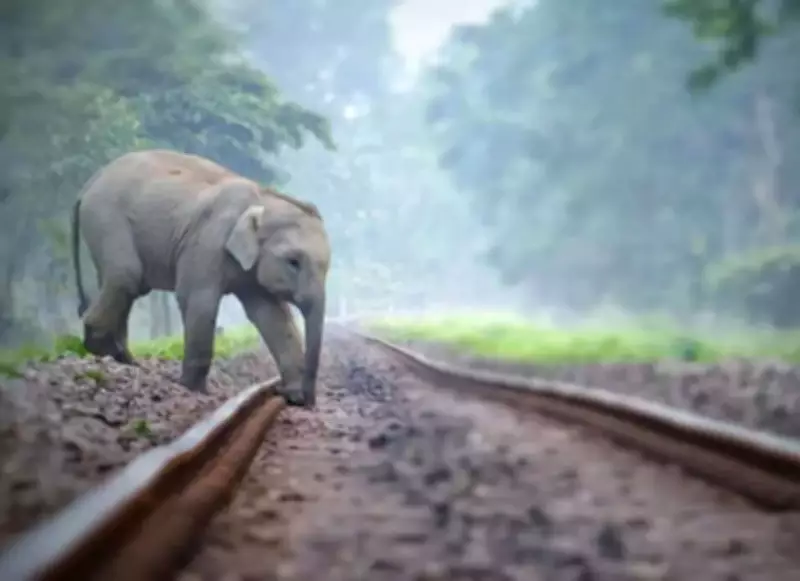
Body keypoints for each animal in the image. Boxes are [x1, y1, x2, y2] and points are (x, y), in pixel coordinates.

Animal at [70, 149, 331, 408]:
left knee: (121, 283)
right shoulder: (207, 240)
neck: (264, 197)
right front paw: (192, 388)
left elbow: (271, 315)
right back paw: (102, 349)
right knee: (127, 276)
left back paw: (124, 358)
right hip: (106, 217)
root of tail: (90, 182)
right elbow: (198, 299)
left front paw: (294, 397)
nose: (309, 401)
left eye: (327, 266)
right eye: (293, 262)